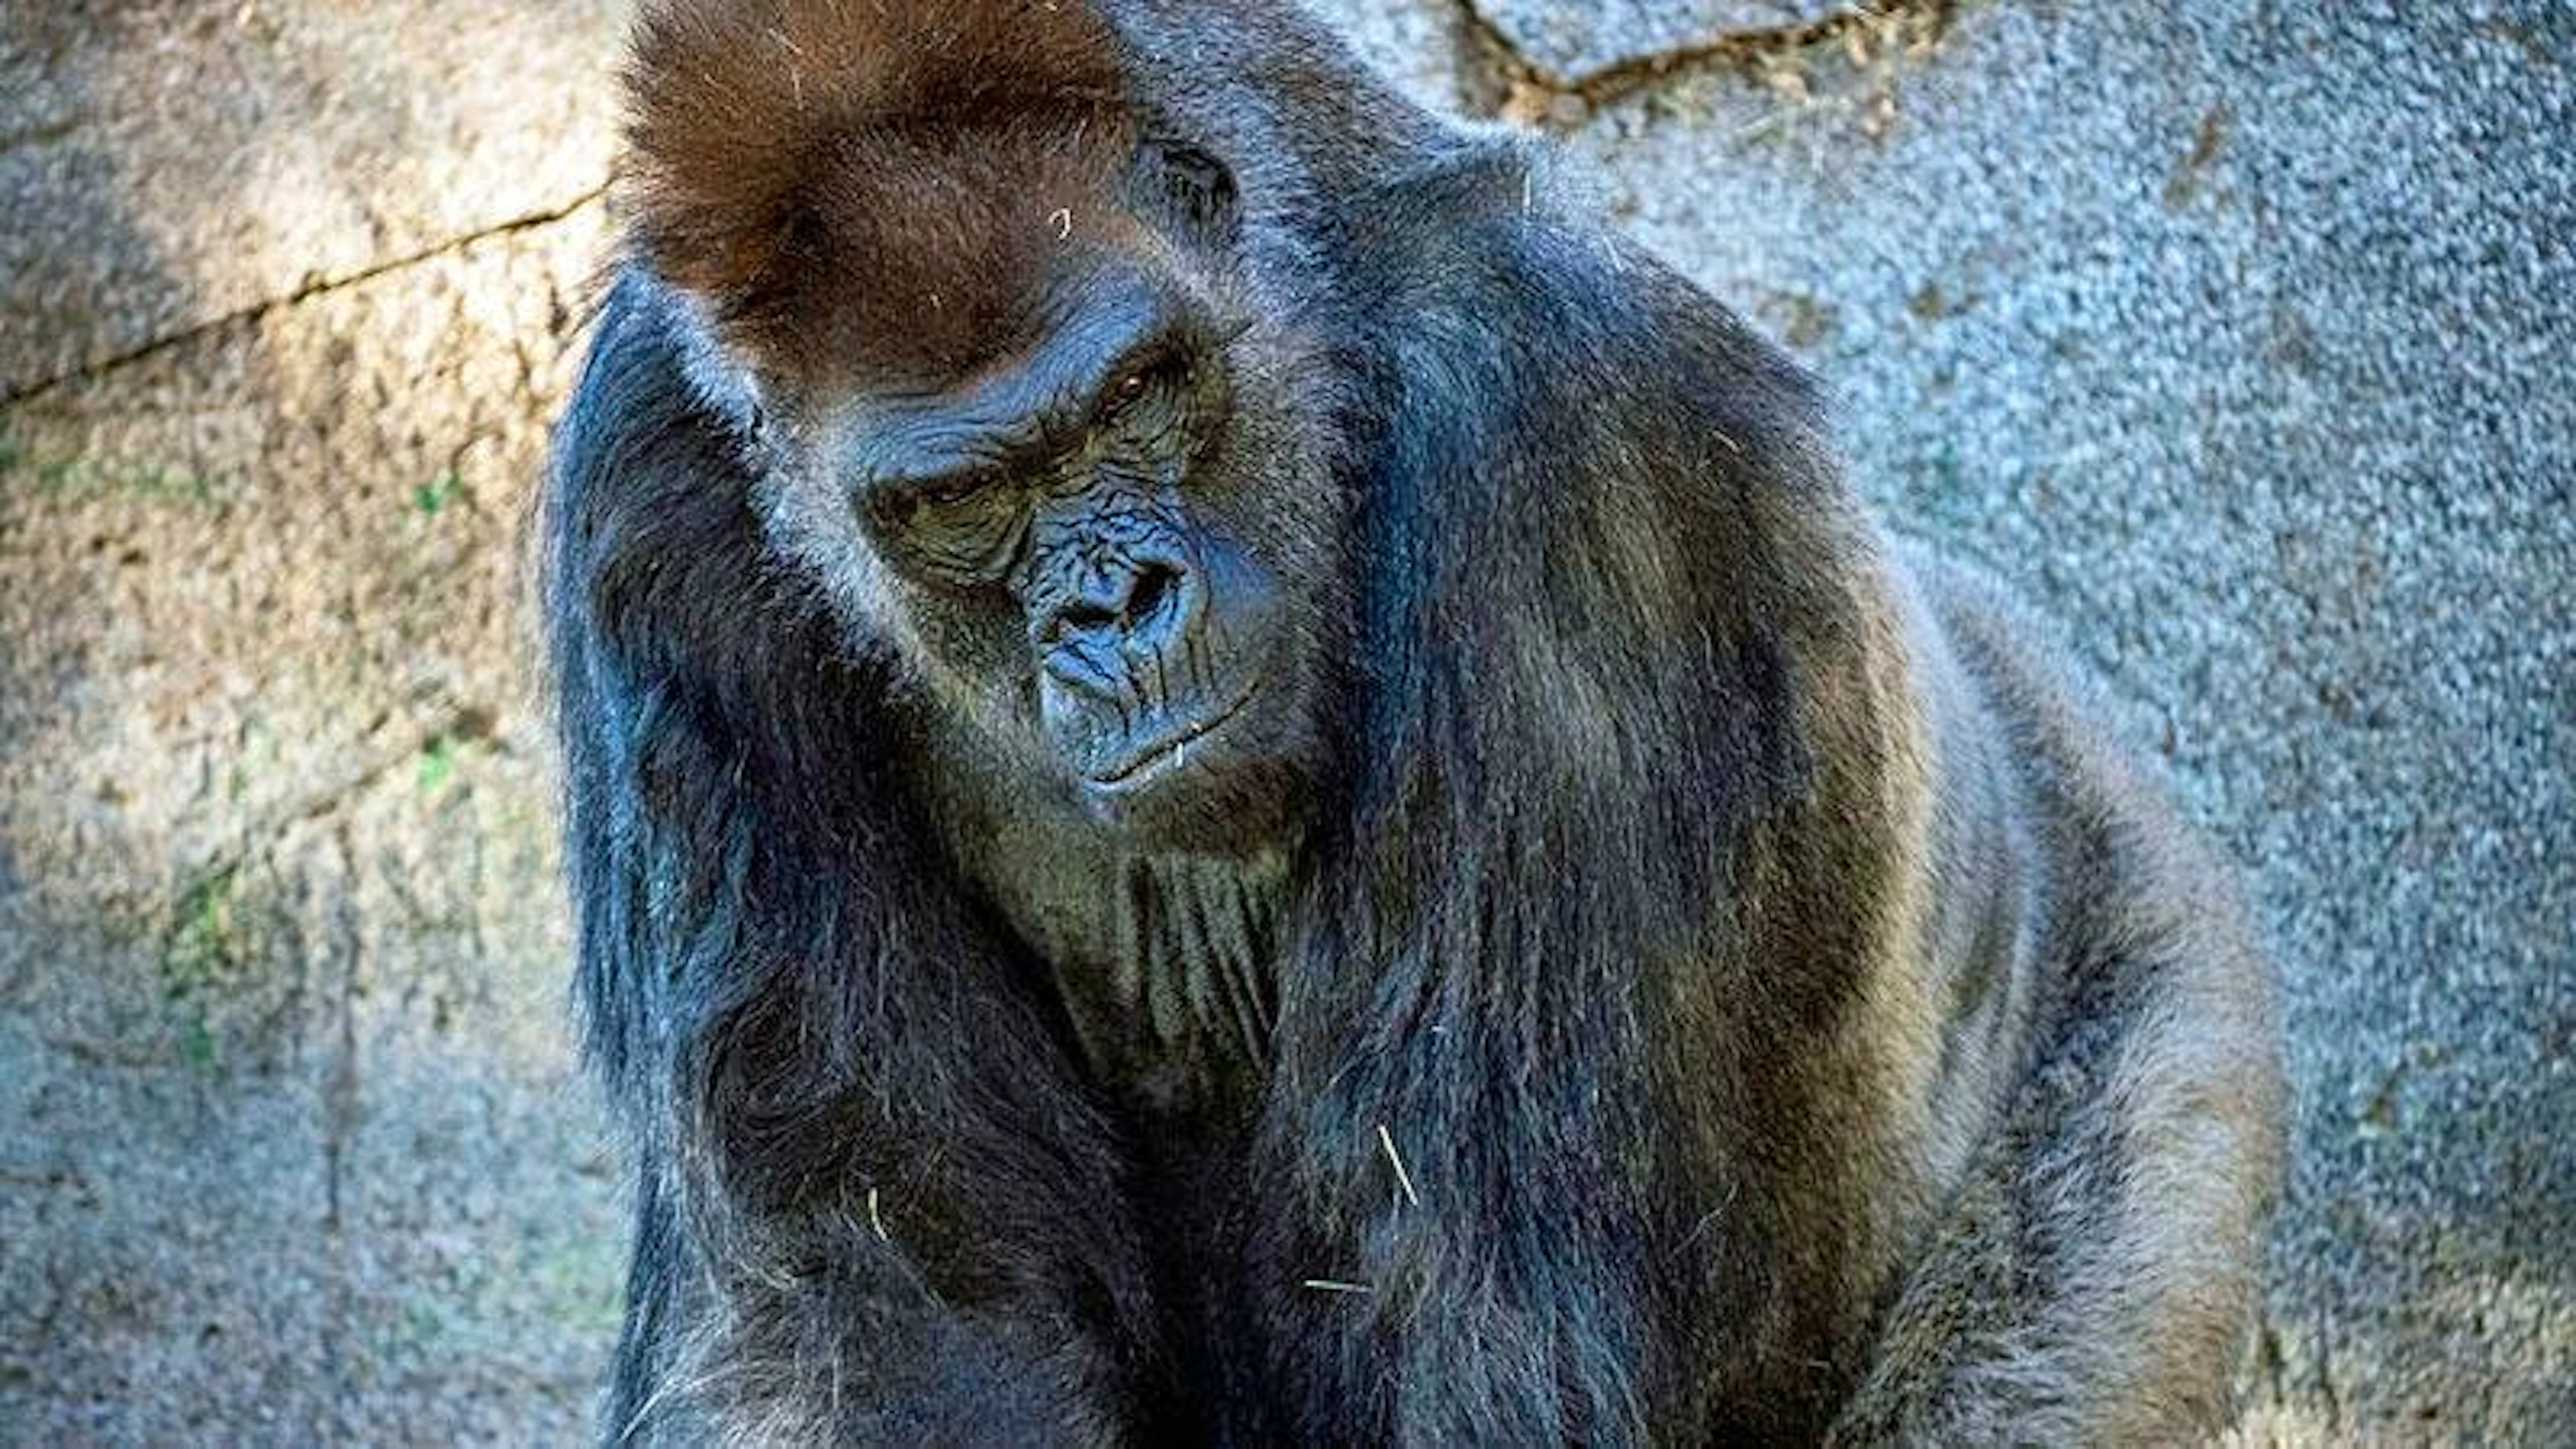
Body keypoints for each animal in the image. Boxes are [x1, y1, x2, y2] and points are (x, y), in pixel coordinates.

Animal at [542, 0, 2288, 1441]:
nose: (1116, 610)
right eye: (962, 498)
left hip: (2147, 1035)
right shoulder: (652, 482)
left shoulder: (1556, 411)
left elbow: (1482, 1311)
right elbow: (880, 1300)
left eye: (1135, 394)